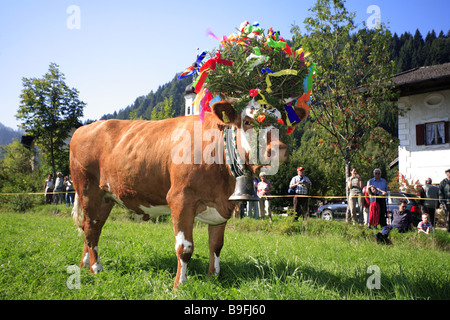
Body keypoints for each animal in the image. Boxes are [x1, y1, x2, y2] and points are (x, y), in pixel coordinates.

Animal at [70, 100, 302, 288]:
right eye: (247, 122)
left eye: (280, 124)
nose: (279, 150)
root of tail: (86, 128)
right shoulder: (180, 199)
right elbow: (185, 248)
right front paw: (179, 285)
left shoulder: (221, 207)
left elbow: (216, 245)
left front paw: (214, 277)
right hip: (89, 190)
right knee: (90, 229)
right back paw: (96, 269)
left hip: (106, 198)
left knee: (92, 229)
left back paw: (84, 264)